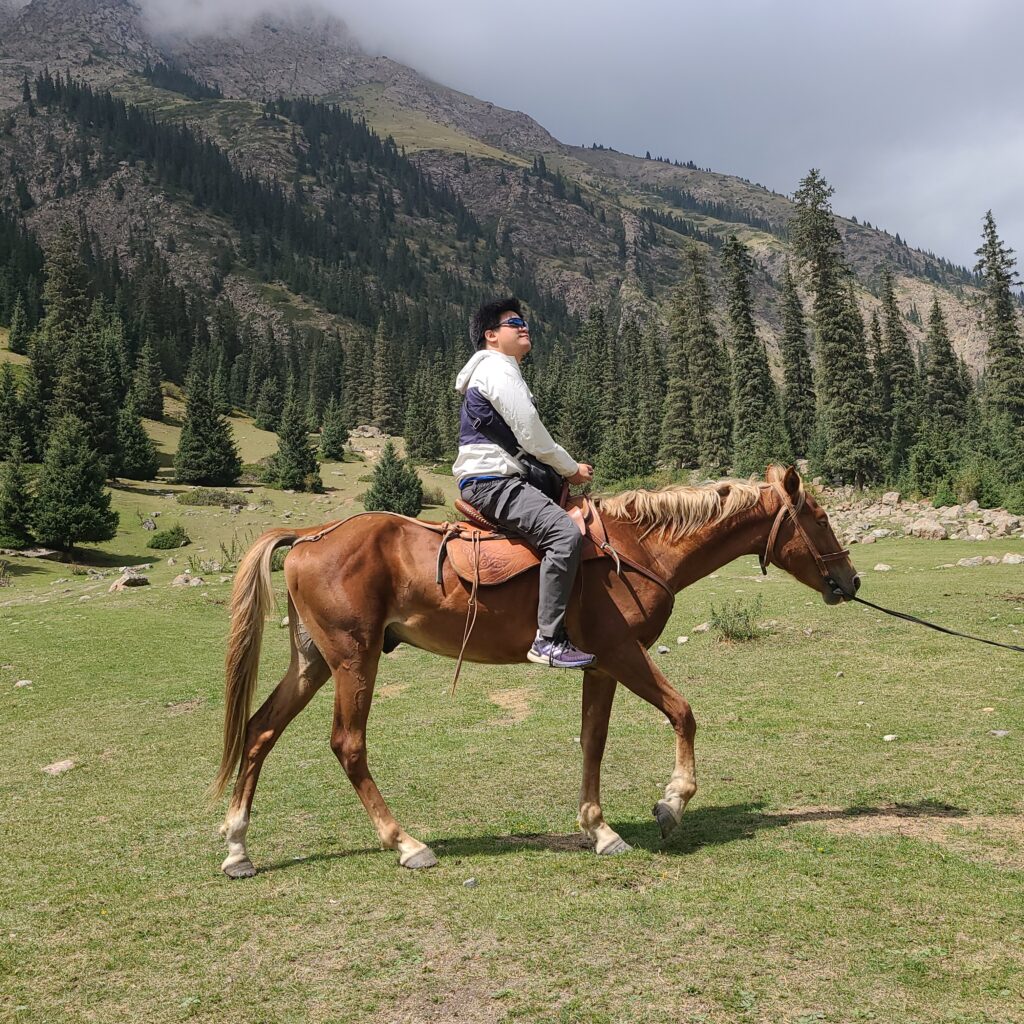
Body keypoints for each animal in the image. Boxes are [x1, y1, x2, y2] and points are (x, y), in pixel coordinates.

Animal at [211, 462, 860, 872]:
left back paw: (239, 848)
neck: (639, 550)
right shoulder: (623, 653)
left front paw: (599, 829)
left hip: (313, 660)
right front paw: (672, 803)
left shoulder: (600, 666)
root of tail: (310, 535)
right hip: (353, 659)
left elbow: (593, 742)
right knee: (347, 743)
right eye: (821, 519)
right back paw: (406, 843)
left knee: (260, 729)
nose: (850, 581)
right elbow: (683, 712)